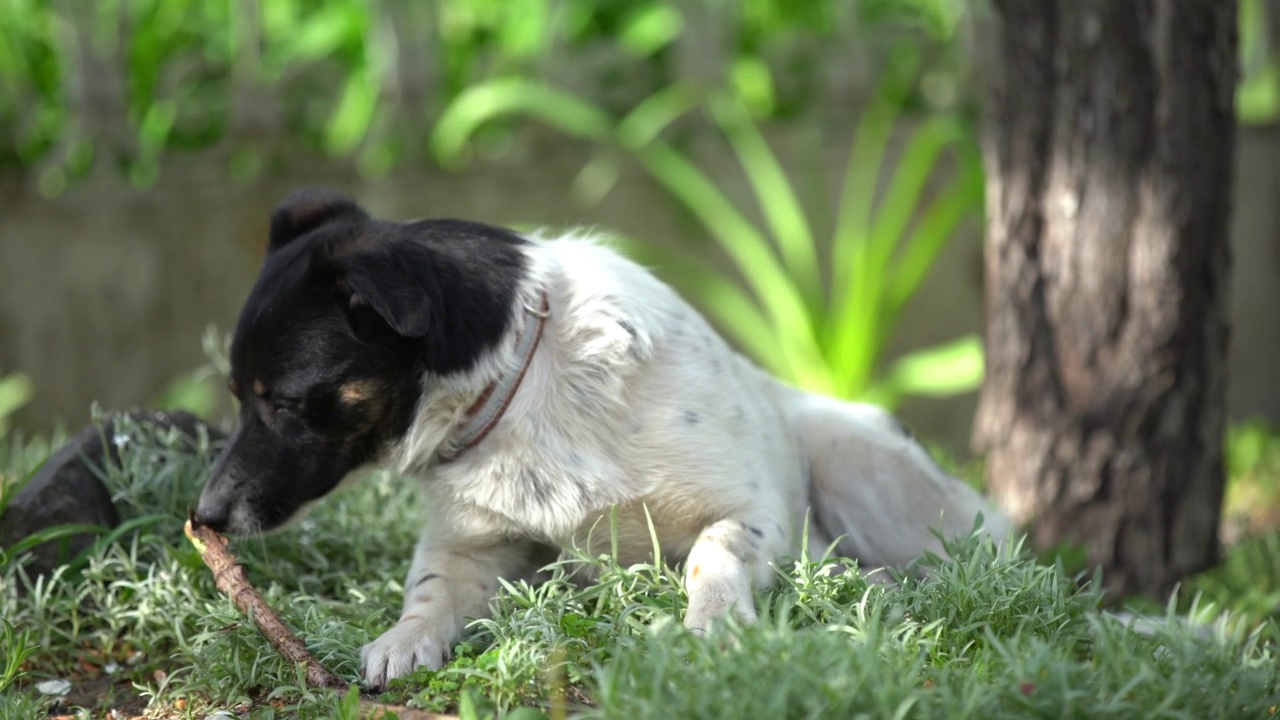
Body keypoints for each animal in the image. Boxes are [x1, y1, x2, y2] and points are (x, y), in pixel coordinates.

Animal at [194, 188, 1008, 686]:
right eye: (237, 396)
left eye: (284, 403)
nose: (203, 517)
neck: (519, 383)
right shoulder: (473, 544)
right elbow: (427, 590)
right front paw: (404, 641)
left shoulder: (755, 510)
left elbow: (712, 554)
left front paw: (715, 623)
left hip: (858, 461)